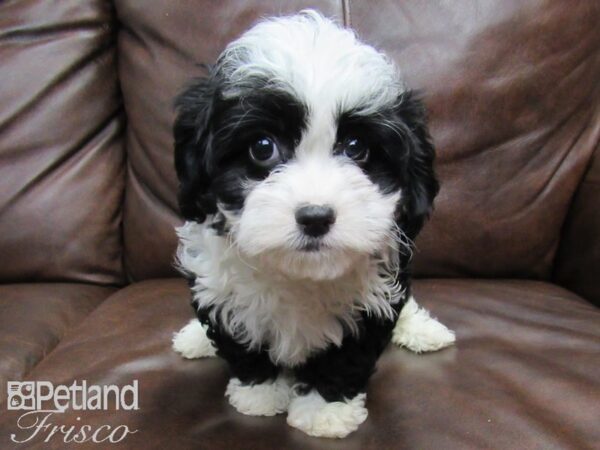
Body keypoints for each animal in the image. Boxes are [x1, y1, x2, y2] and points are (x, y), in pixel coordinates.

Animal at [171, 11, 452, 440]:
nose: (316, 217)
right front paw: (260, 393)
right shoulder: (216, 285)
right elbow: (239, 341)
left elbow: (348, 355)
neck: (298, 274)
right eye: (262, 147)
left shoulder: (374, 298)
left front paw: (325, 410)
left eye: (356, 148)